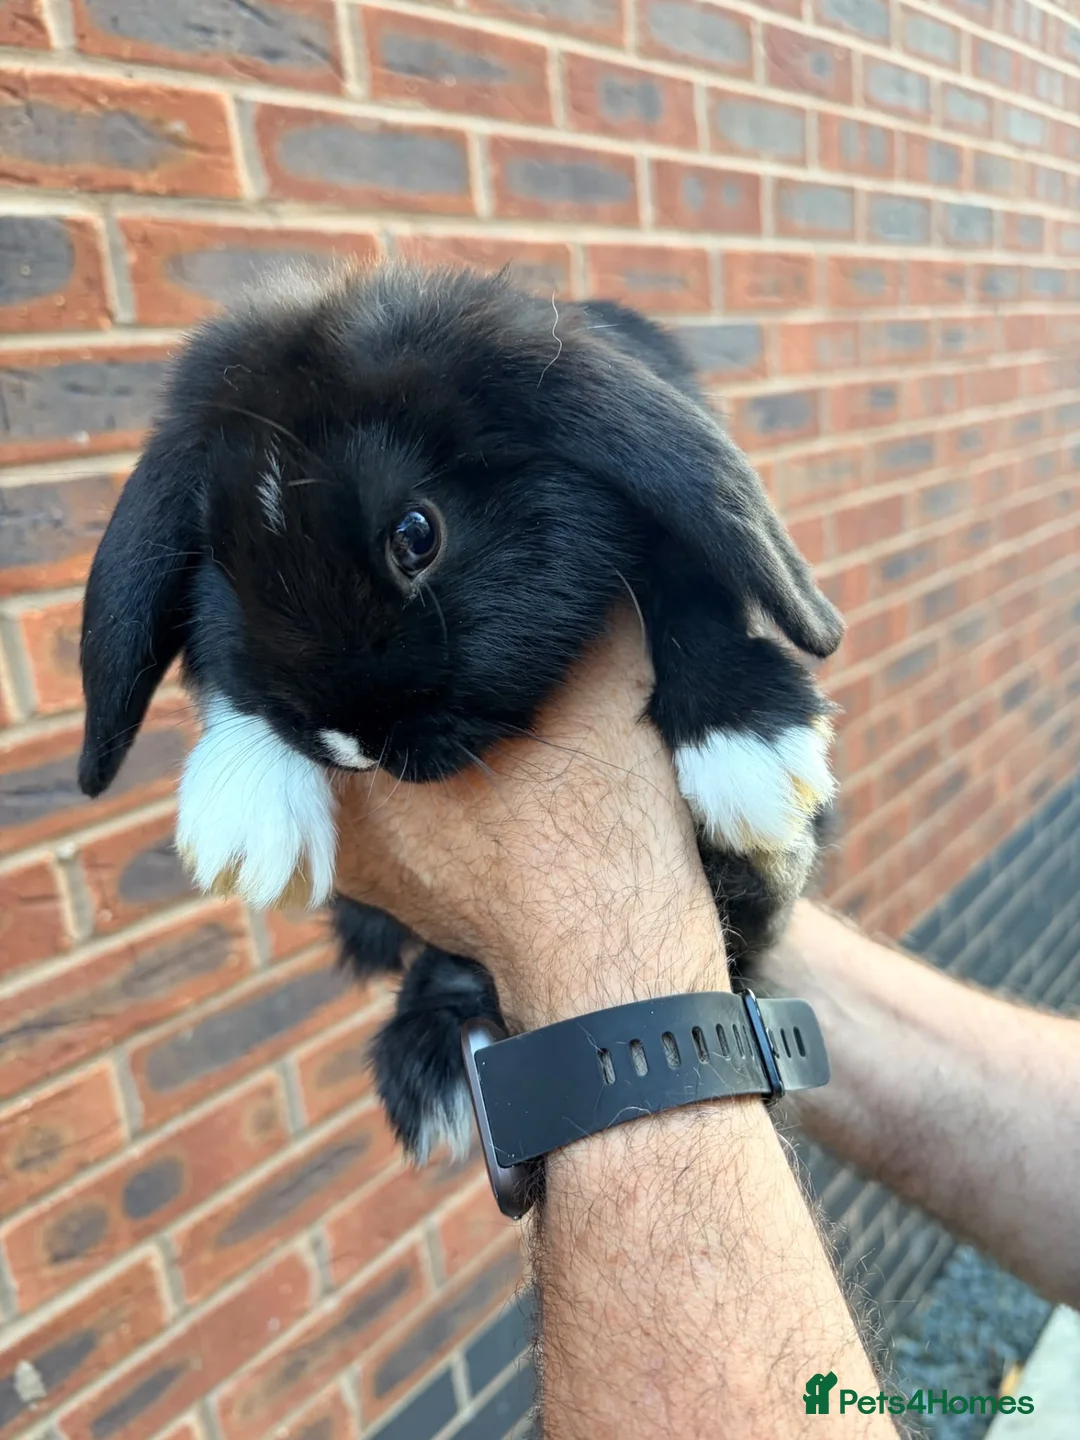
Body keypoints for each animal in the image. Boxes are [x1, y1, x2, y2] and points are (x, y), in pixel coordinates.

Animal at [78, 264, 843, 1162]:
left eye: (417, 533)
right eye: (226, 568)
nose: (351, 740)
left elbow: (693, 586)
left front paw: (748, 746)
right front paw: (243, 815)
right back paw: (432, 1065)